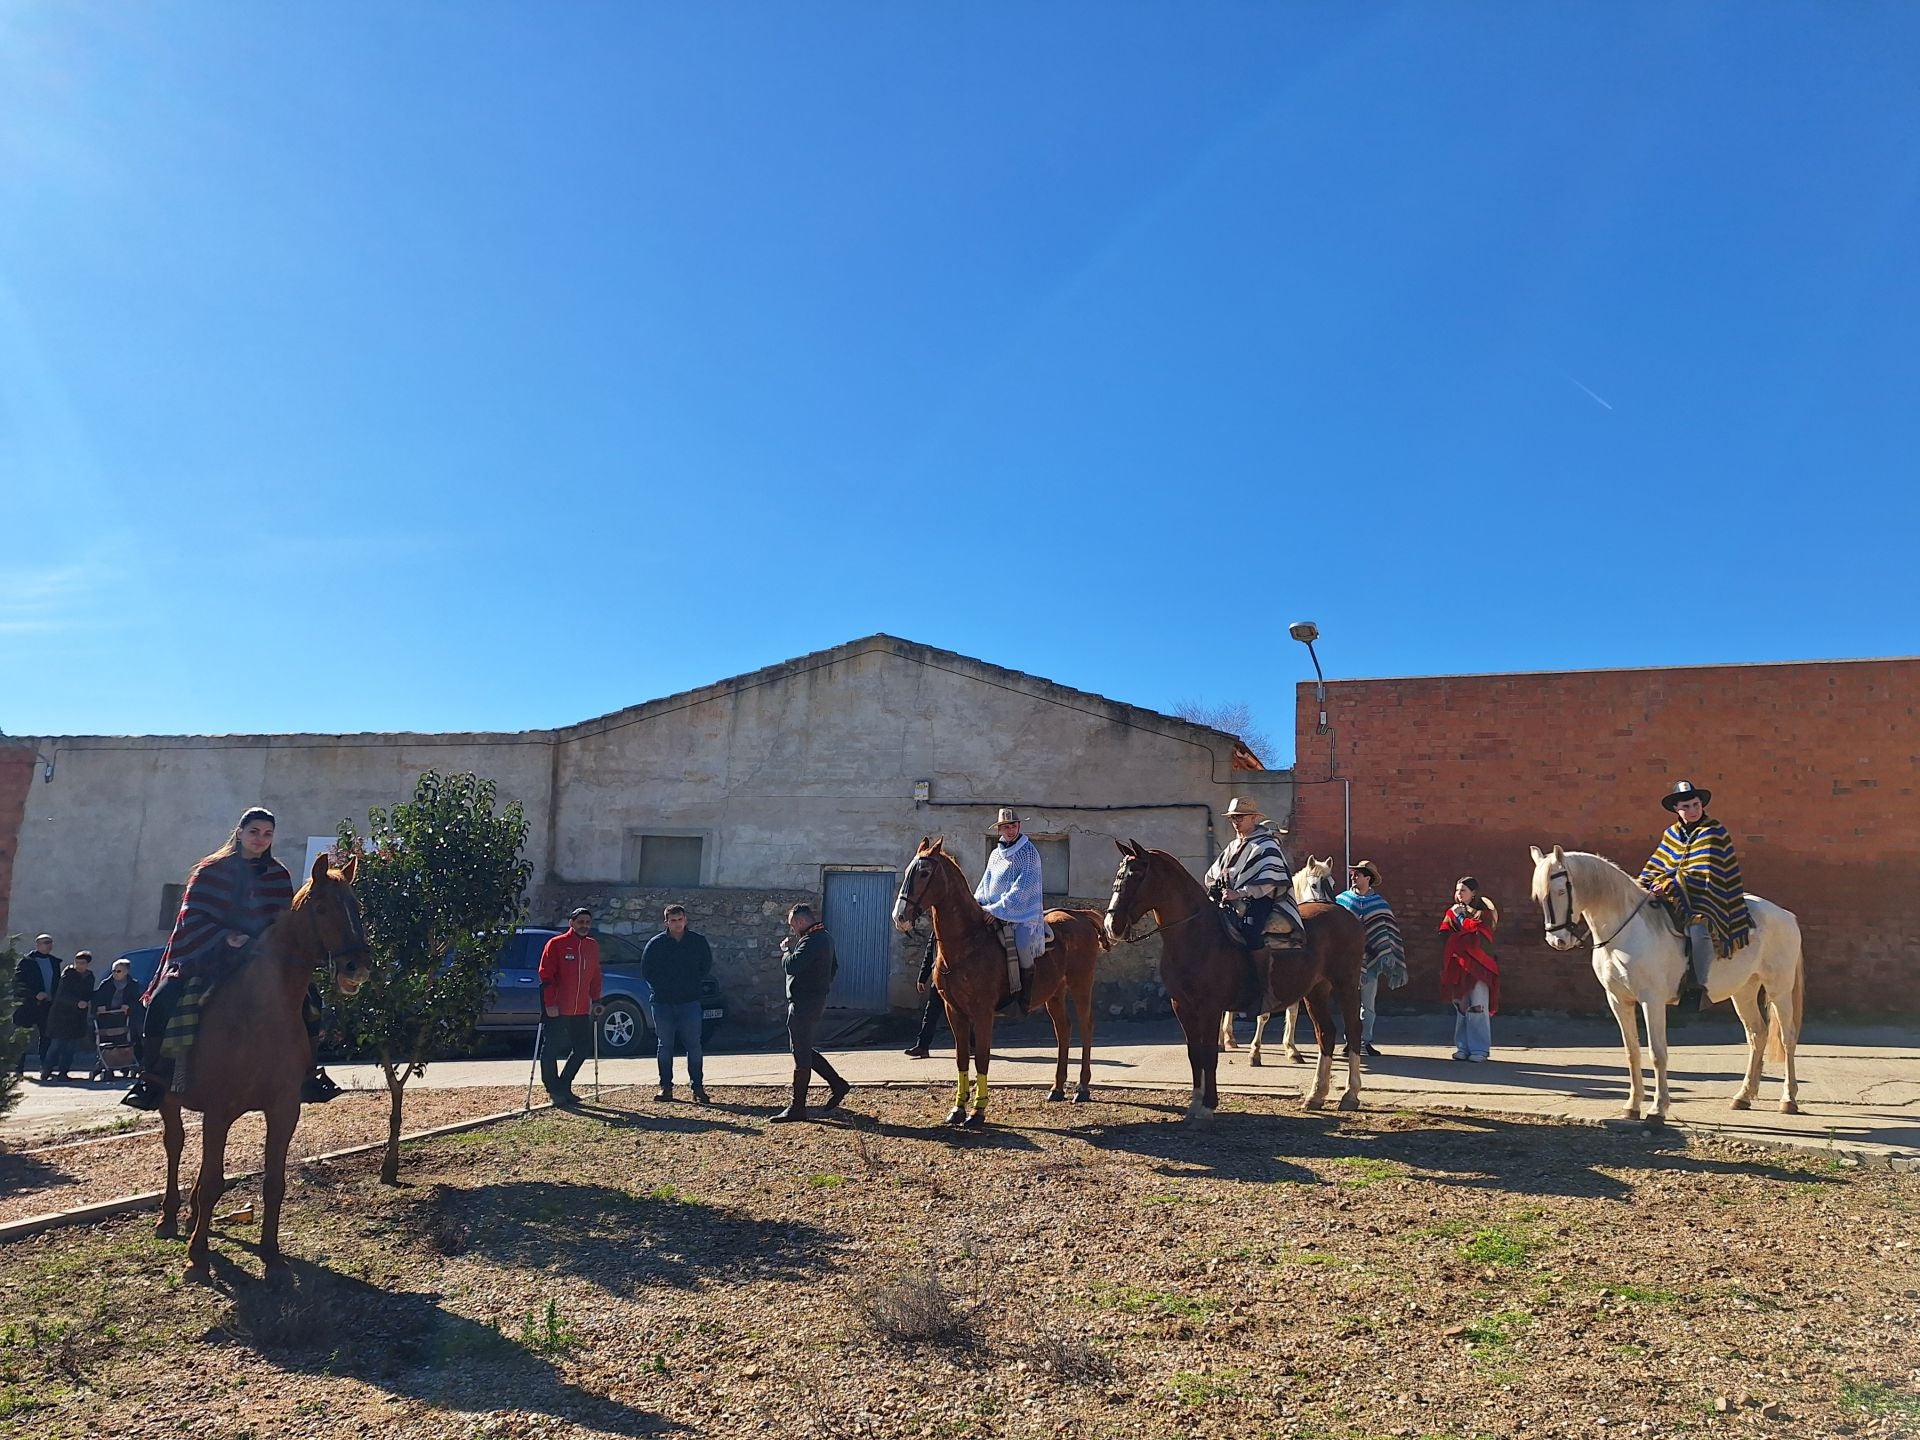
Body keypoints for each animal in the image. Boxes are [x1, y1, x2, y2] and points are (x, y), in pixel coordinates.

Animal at [157, 852, 370, 1282]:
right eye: (322, 907)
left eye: (358, 907)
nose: (356, 967)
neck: (261, 1011)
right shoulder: (218, 1108)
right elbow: (213, 1181)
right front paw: (197, 1256)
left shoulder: (283, 1108)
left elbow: (273, 1182)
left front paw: (271, 1254)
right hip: (170, 1099)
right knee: (176, 1144)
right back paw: (170, 1217)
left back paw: (192, 1216)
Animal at [894, 840, 1113, 1136]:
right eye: (908, 870)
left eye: (925, 873)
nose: (900, 916)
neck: (967, 943)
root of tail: (1079, 916)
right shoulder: (954, 1012)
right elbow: (962, 1059)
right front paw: (957, 1109)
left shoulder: (983, 1014)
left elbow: (982, 1058)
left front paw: (977, 1112)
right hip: (1054, 993)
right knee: (1063, 1029)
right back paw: (1057, 1087)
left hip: (1081, 983)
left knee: (1086, 1025)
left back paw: (1082, 1087)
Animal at [1221, 856, 1328, 1075]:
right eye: (1314, 884)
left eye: (1332, 882)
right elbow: (1264, 1014)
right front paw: (1255, 1053)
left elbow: (1293, 1012)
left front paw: (1292, 1050)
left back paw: (1229, 1038)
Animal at [1520, 852, 1804, 1121]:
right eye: (1540, 896)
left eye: (1560, 891)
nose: (1558, 940)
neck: (1626, 932)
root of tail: (1786, 915)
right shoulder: (1618, 1000)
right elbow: (1632, 1052)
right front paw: (1632, 1106)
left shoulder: (1652, 1000)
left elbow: (1657, 1053)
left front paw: (1658, 1109)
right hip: (1744, 991)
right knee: (1757, 1035)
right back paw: (1743, 1096)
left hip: (1779, 989)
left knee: (1787, 1037)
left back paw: (1788, 1100)